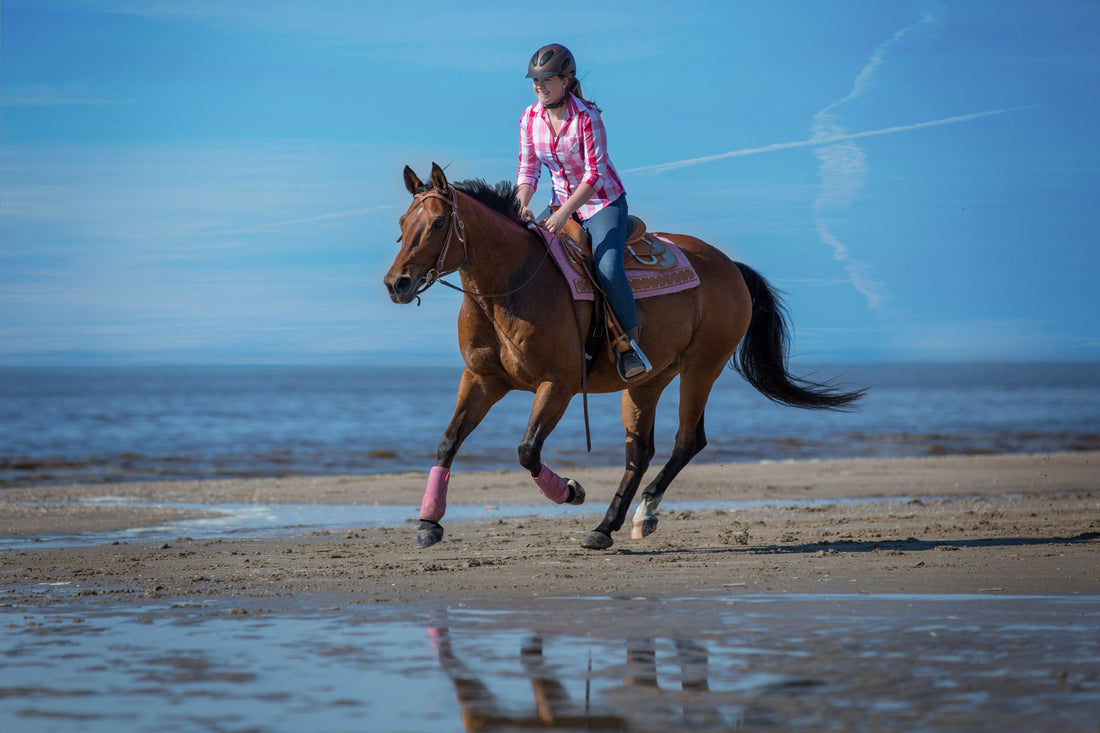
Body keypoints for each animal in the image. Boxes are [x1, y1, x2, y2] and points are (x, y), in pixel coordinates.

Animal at [382, 161, 862, 548]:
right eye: (404, 221)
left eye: (439, 222)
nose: (396, 284)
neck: (512, 284)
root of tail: (731, 267)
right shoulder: (482, 380)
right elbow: (448, 441)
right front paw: (428, 523)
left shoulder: (557, 385)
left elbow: (528, 450)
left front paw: (571, 490)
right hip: (649, 381)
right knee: (640, 452)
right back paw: (606, 527)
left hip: (702, 368)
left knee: (687, 440)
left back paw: (643, 514)